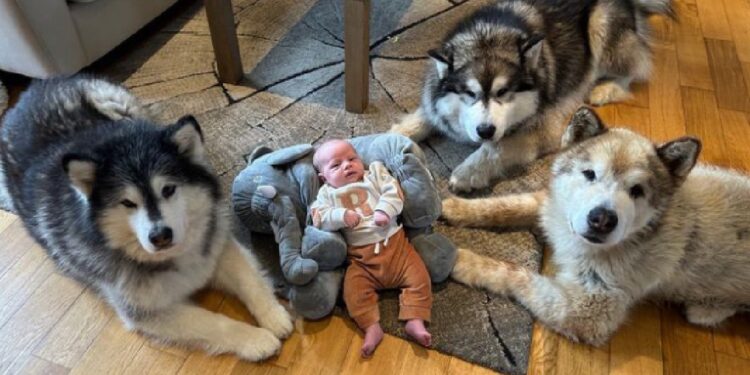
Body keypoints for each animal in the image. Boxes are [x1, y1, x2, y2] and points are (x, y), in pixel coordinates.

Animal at [0, 76, 294, 362]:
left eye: (168, 190)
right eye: (128, 203)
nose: (160, 236)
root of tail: (31, 91)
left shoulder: (218, 248)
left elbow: (250, 281)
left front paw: (273, 315)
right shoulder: (145, 311)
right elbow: (214, 321)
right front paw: (255, 339)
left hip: (121, 106)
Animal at [394, 0, 676, 192]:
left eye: (503, 92)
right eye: (470, 93)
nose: (485, 130)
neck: (489, 36)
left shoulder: (543, 127)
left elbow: (496, 148)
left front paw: (469, 171)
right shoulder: (434, 101)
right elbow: (420, 118)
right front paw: (392, 136)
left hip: (600, 23)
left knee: (635, 68)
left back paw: (604, 88)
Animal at [444, 107, 748, 346]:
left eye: (637, 191)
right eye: (589, 174)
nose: (601, 219)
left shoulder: (588, 309)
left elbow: (514, 274)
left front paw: (464, 261)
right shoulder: (553, 206)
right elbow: (508, 205)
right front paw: (456, 208)